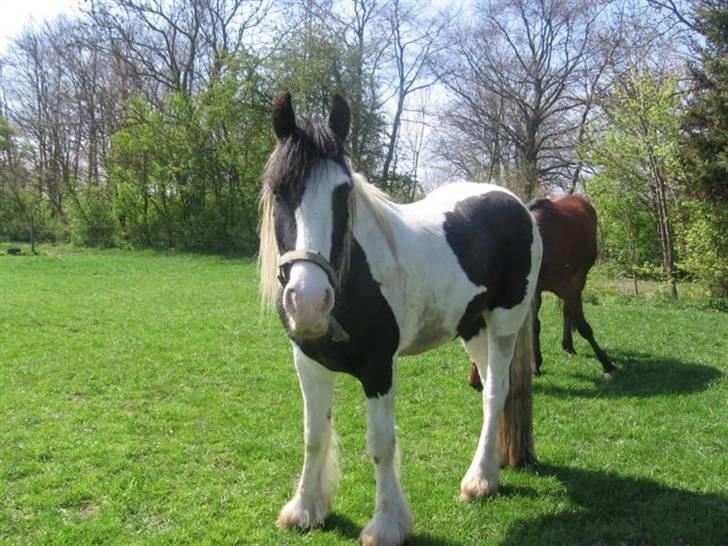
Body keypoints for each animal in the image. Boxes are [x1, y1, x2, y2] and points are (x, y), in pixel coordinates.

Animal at [260, 93, 540, 544]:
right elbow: (313, 435)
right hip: (472, 327)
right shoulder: (308, 362)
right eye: (279, 189)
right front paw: (305, 509)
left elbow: (381, 444)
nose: (309, 301)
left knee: (497, 393)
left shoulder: (378, 369)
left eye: (343, 192)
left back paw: (479, 481)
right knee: (488, 395)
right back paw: (490, 467)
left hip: (504, 325)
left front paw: (388, 523)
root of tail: (518, 204)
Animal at [470, 193, 616, 388]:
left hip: (580, 278)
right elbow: (535, 325)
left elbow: (584, 327)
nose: (473, 381)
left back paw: (569, 345)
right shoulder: (534, 291)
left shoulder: (567, 288)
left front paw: (606, 362)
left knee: (568, 311)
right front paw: (536, 363)